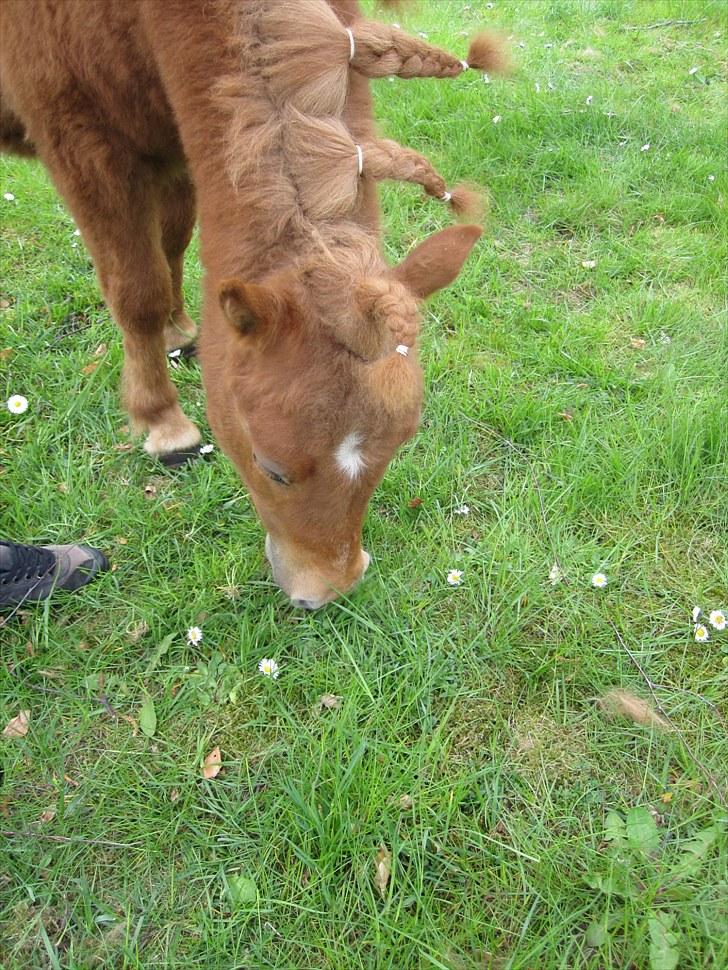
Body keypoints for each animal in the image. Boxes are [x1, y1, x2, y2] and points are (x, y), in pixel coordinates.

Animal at [0, 0, 504, 604]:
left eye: (398, 445)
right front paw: (162, 422)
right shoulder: (83, 144)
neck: (150, 21)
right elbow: (137, 289)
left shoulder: (185, 134)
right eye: (271, 467)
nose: (328, 589)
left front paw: (179, 330)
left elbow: (176, 239)